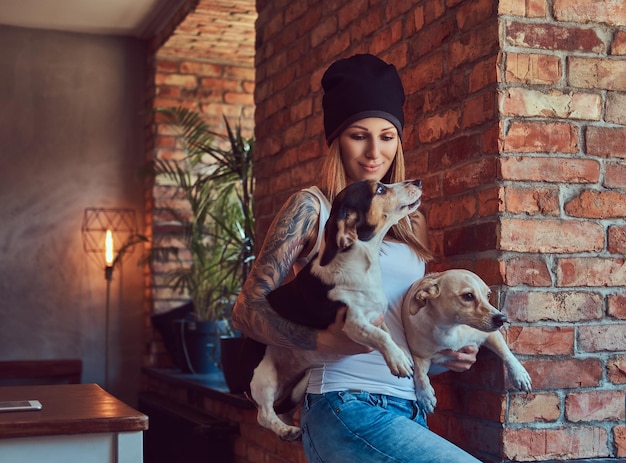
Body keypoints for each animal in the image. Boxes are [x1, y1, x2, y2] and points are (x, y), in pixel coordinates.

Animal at [251, 179, 422, 442]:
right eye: (380, 189)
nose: (418, 181)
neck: (361, 263)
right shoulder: (352, 323)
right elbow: (380, 336)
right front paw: (397, 360)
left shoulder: (376, 314)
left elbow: (388, 333)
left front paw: (401, 352)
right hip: (264, 376)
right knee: (264, 415)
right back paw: (284, 429)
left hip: (299, 384)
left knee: (283, 409)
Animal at [402, 270, 528, 416]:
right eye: (468, 296)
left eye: (488, 295)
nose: (502, 319)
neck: (450, 329)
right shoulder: (419, 356)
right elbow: (420, 374)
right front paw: (425, 396)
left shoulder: (490, 334)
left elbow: (506, 353)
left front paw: (520, 374)